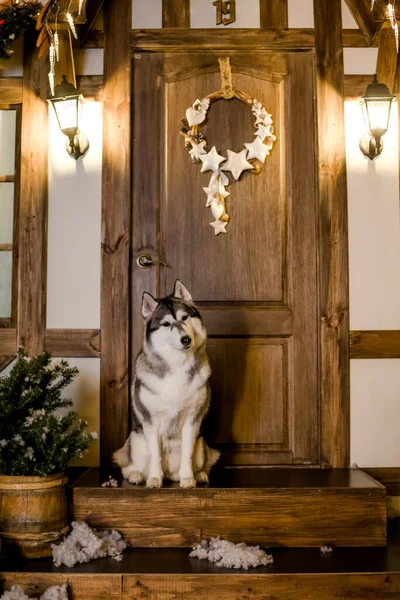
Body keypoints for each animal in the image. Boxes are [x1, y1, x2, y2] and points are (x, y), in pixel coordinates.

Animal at [114, 282, 220, 488]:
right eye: (166, 324)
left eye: (184, 318)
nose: (185, 339)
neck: (177, 364)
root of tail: (170, 474)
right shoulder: (151, 421)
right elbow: (155, 454)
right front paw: (154, 479)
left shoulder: (192, 421)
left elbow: (187, 454)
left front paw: (188, 479)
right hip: (137, 441)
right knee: (127, 465)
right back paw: (137, 475)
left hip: (201, 445)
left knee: (203, 462)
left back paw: (199, 475)